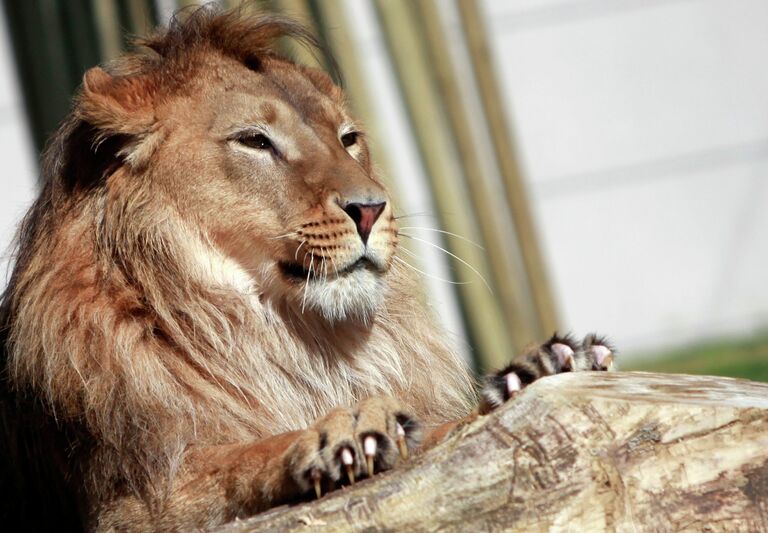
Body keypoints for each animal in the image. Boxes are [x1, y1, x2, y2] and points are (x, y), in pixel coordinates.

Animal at [0, 6, 612, 528]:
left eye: (348, 139)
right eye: (254, 140)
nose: (371, 208)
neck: (292, 337)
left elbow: (446, 431)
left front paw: (532, 371)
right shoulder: (126, 503)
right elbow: (237, 459)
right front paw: (341, 433)